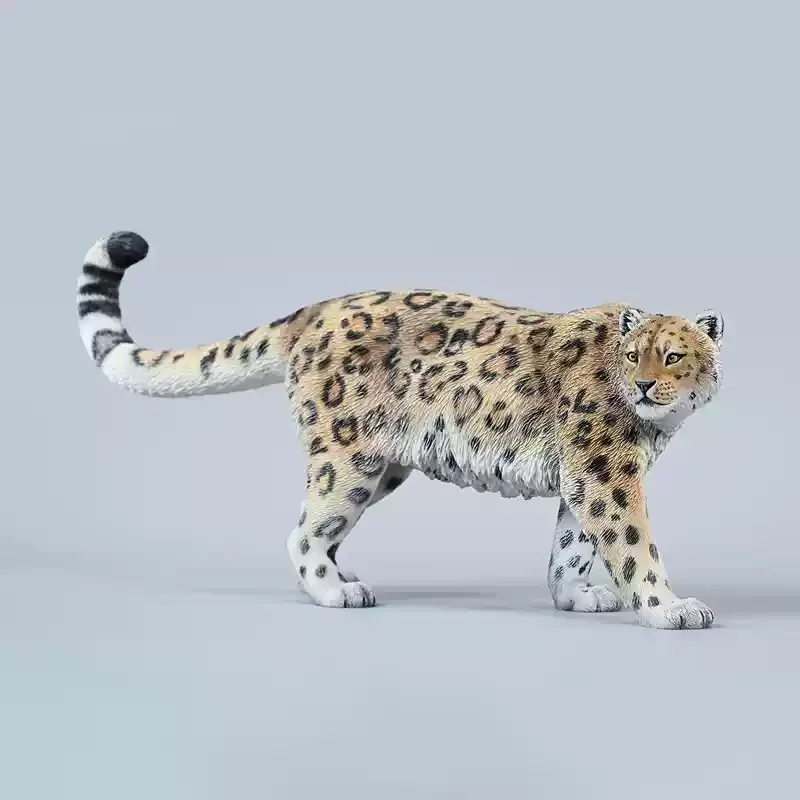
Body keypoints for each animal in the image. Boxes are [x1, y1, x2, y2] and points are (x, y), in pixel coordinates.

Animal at [77, 231, 725, 629]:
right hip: (348, 459)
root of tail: (318, 308)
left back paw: (343, 575)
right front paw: (670, 608)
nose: (644, 386)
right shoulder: (605, 472)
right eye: (633, 354)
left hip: (383, 467)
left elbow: (571, 547)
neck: (653, 433)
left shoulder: (584, 474)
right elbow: (633, 542)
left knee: (323, 530)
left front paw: (577, 596)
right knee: (304, 531)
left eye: (672, 356)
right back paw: (336, 591)